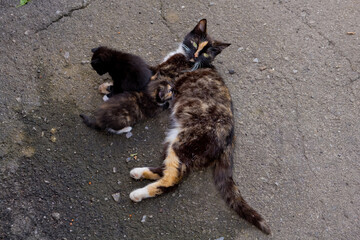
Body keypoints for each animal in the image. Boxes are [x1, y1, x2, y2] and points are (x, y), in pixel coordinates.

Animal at [128, 19, 272, 234]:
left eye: (206, 53)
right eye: (195, 43)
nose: (195, 55)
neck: (186, 57)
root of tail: (230, 138)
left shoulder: (160, 73)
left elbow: (143, 71)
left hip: (184, 143)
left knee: (173, 179)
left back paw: (139, 193)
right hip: (174, 140)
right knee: (167, 169)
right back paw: (139, 172)